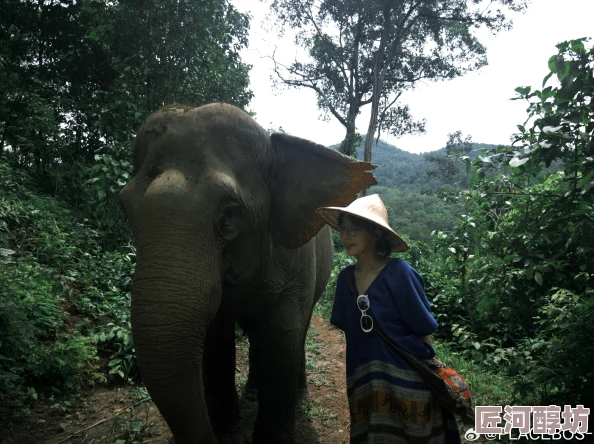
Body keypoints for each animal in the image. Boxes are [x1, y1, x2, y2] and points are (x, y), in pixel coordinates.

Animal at [117, 102, 372, 442]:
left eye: (228, 216)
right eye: (125, 209)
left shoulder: (296, 265)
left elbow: (283, 337)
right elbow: (216, 339)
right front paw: (226, 428)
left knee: (298, 330)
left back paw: (299, 397)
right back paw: (252, 393)